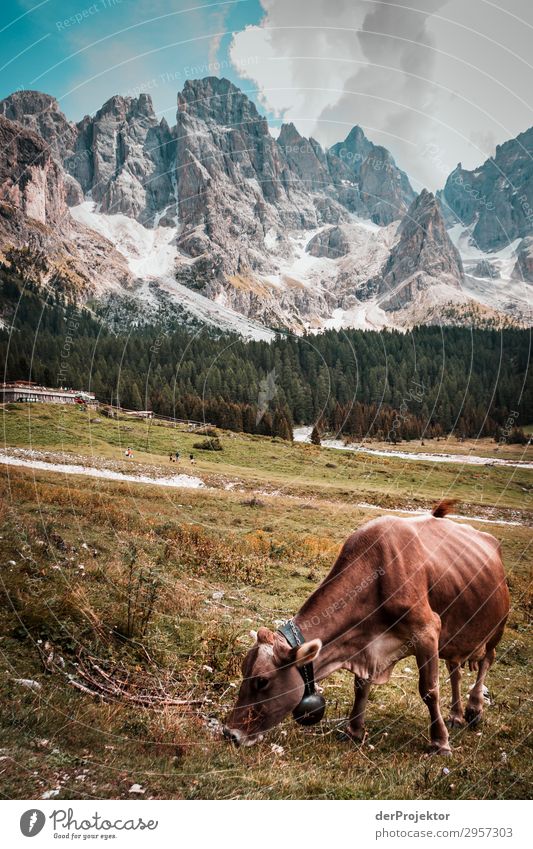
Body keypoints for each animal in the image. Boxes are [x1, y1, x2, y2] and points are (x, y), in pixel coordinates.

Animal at [222, 500, 510, 752]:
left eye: (262, 681)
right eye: (243, 671)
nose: (230, 733)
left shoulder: (428, 630)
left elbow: (429, 691)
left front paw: (440, 742)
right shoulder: (367, 644)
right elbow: (361, 686)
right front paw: (354, 730)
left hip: (498, 626)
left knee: (487, 659)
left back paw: (474, 709)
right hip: (457, 635)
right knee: (455, 670)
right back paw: (456, 715)